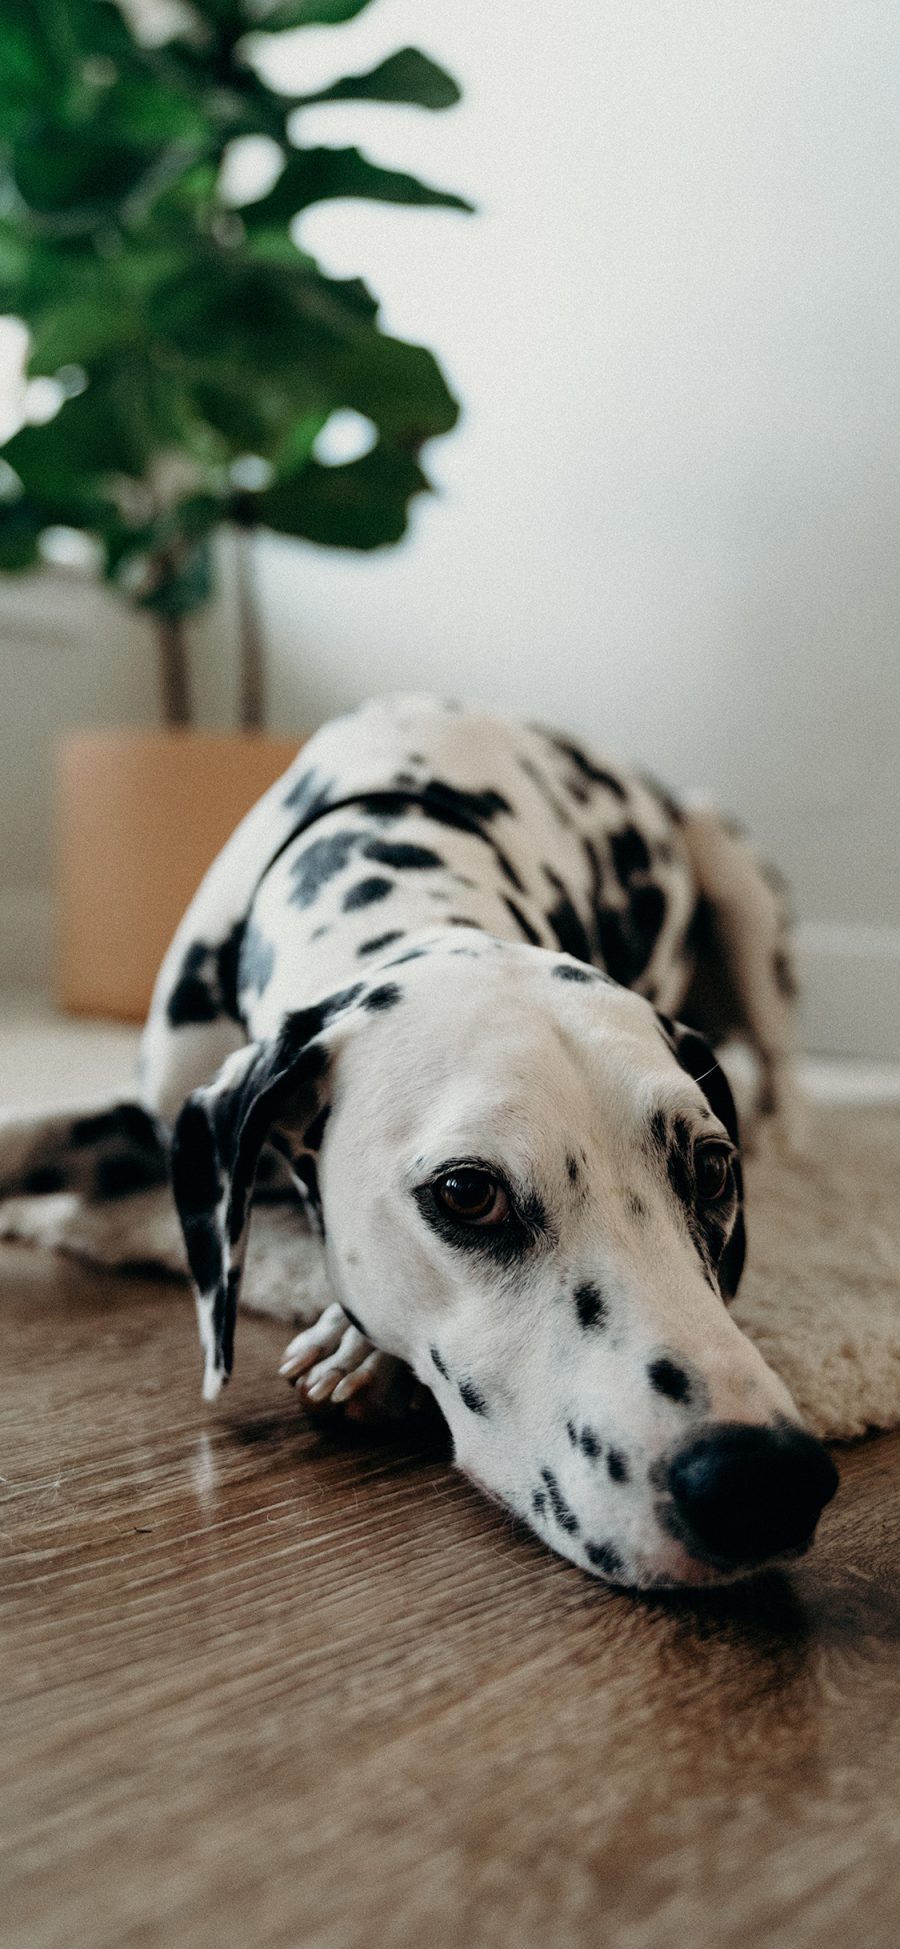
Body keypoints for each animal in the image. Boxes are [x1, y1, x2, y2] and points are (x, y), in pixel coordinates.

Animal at [3, 697, 841, 1582]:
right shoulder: (151, 1119)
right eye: (468, 1192)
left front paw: (356, 1346)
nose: (763, 1478)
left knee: (785, 1063)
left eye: (712, 1169)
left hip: (729, 866)